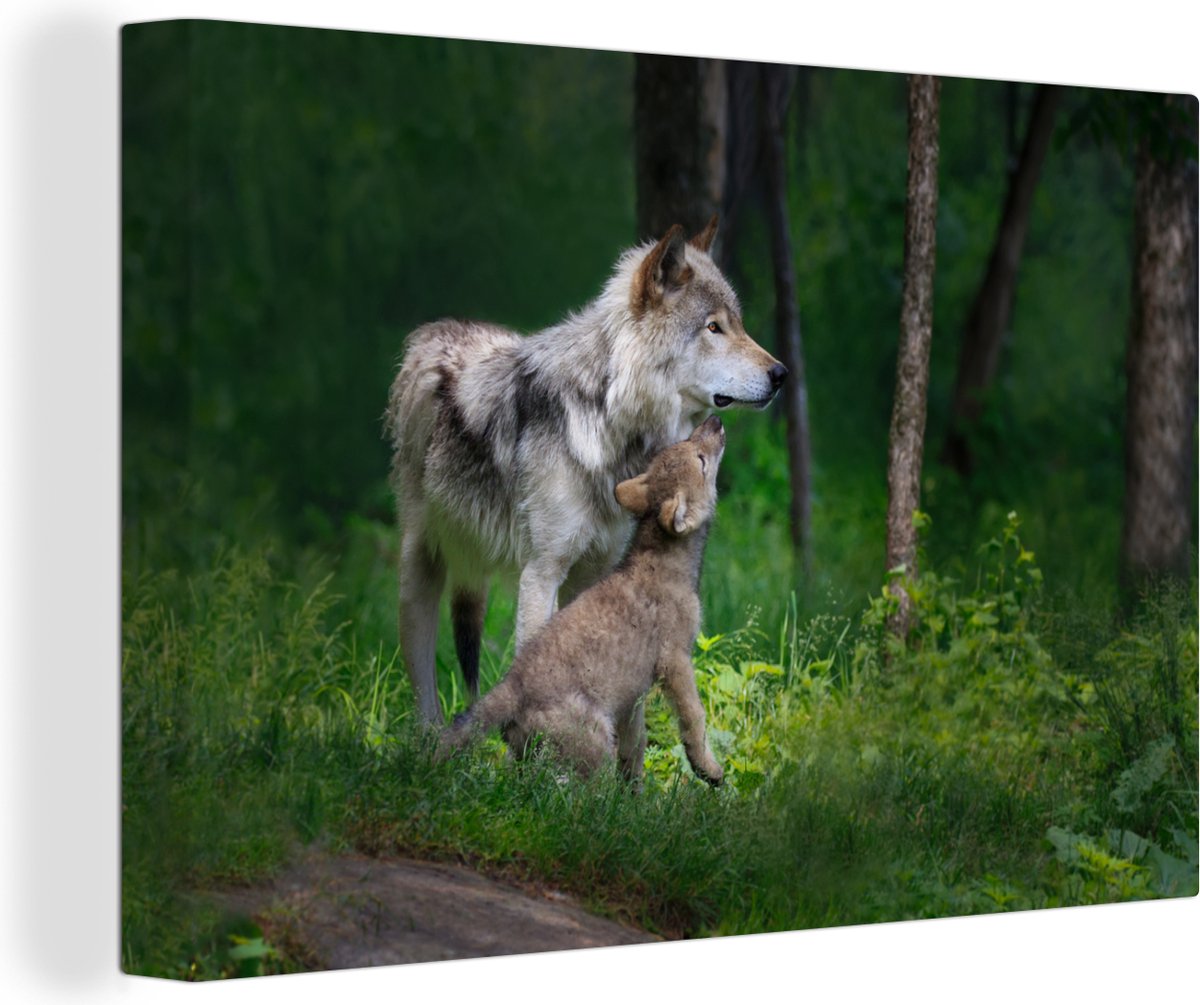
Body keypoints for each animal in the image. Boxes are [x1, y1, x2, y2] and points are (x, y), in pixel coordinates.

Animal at [386, 218, 786, 722]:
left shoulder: (594, 571)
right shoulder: (541, 573)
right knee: (423, 681)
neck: (608, 418)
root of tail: (435, 331)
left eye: (739, 325)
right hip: (419, 571)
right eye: (713, 327)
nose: (782, 374)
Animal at [437, 416, 728, 785]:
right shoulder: (675, 660)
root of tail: (513, 685)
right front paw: (709, 769)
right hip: (595, 742)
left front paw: (634, 792)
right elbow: (694, 718)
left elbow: (636, 745)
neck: (664, 561)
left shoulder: (633, 695)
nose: (715, 421)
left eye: (688, 442)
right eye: (701, 460)